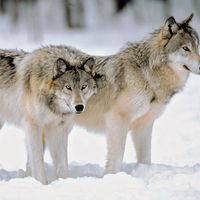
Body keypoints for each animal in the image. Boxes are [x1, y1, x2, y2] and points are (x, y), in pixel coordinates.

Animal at [0, 46, 97, 184]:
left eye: (83, 87)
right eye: (68, 87)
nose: (79, 107)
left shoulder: (58, 129)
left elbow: (61, 163)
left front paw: (64, 182)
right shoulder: (33, 126)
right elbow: (38, 160)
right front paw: (42, 184)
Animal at [74, 14, 200, 173]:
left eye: (197, 47)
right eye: (185, 48)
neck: (146, 75)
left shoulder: (144, 125)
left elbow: (145, 158)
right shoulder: (118, 120)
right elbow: (116, 160)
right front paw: (112, 176)